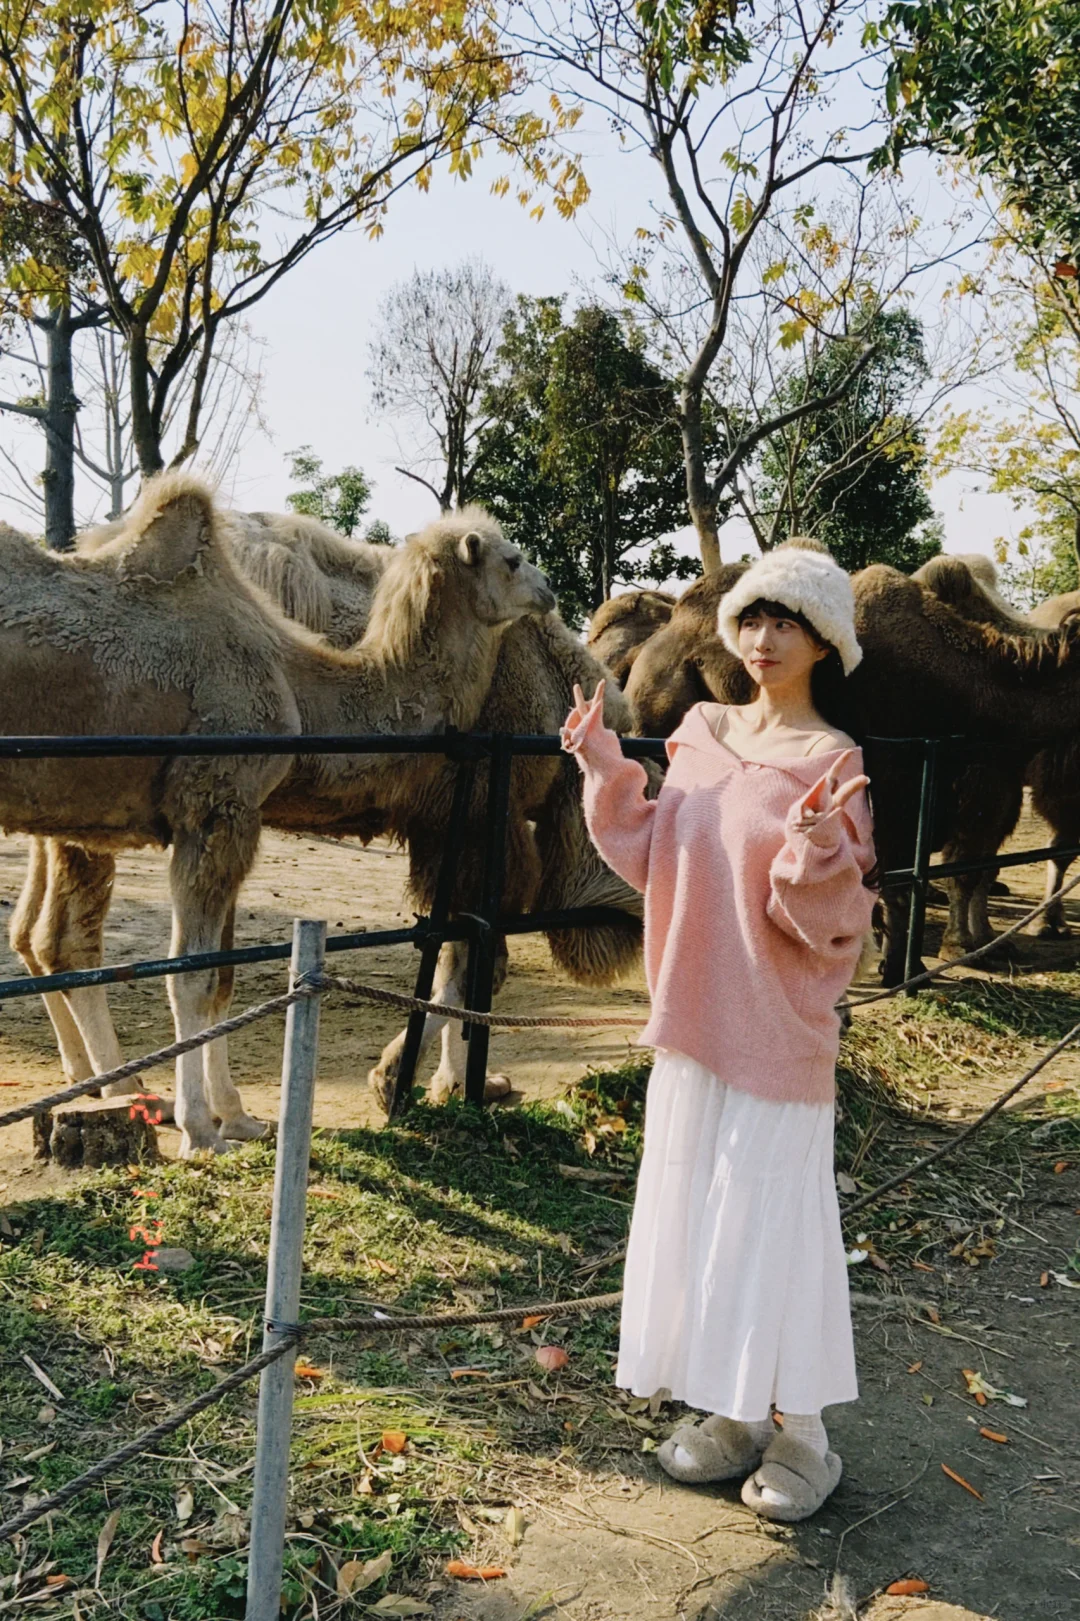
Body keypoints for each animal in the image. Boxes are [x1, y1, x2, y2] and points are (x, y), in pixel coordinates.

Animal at [16, 505, 638, 1115]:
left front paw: (455, 1084)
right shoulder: (482, 813)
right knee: (69, 938)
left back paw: (92, 1079)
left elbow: (460, 950)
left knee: (31, 933)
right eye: (512, 560)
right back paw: (133, 1089)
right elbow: (475, 960)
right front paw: (425, 1083)